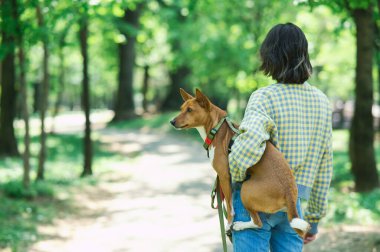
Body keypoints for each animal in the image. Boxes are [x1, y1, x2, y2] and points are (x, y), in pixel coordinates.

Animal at [171, 88, 310, 236]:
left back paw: (239, 225)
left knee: (257, 222)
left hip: (246, 190)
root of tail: (289, 194)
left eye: (190, 110)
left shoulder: (224, 176)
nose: (171, 121)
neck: (216, 129)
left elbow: (230, 206)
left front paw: (228, 224)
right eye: (181, 109)